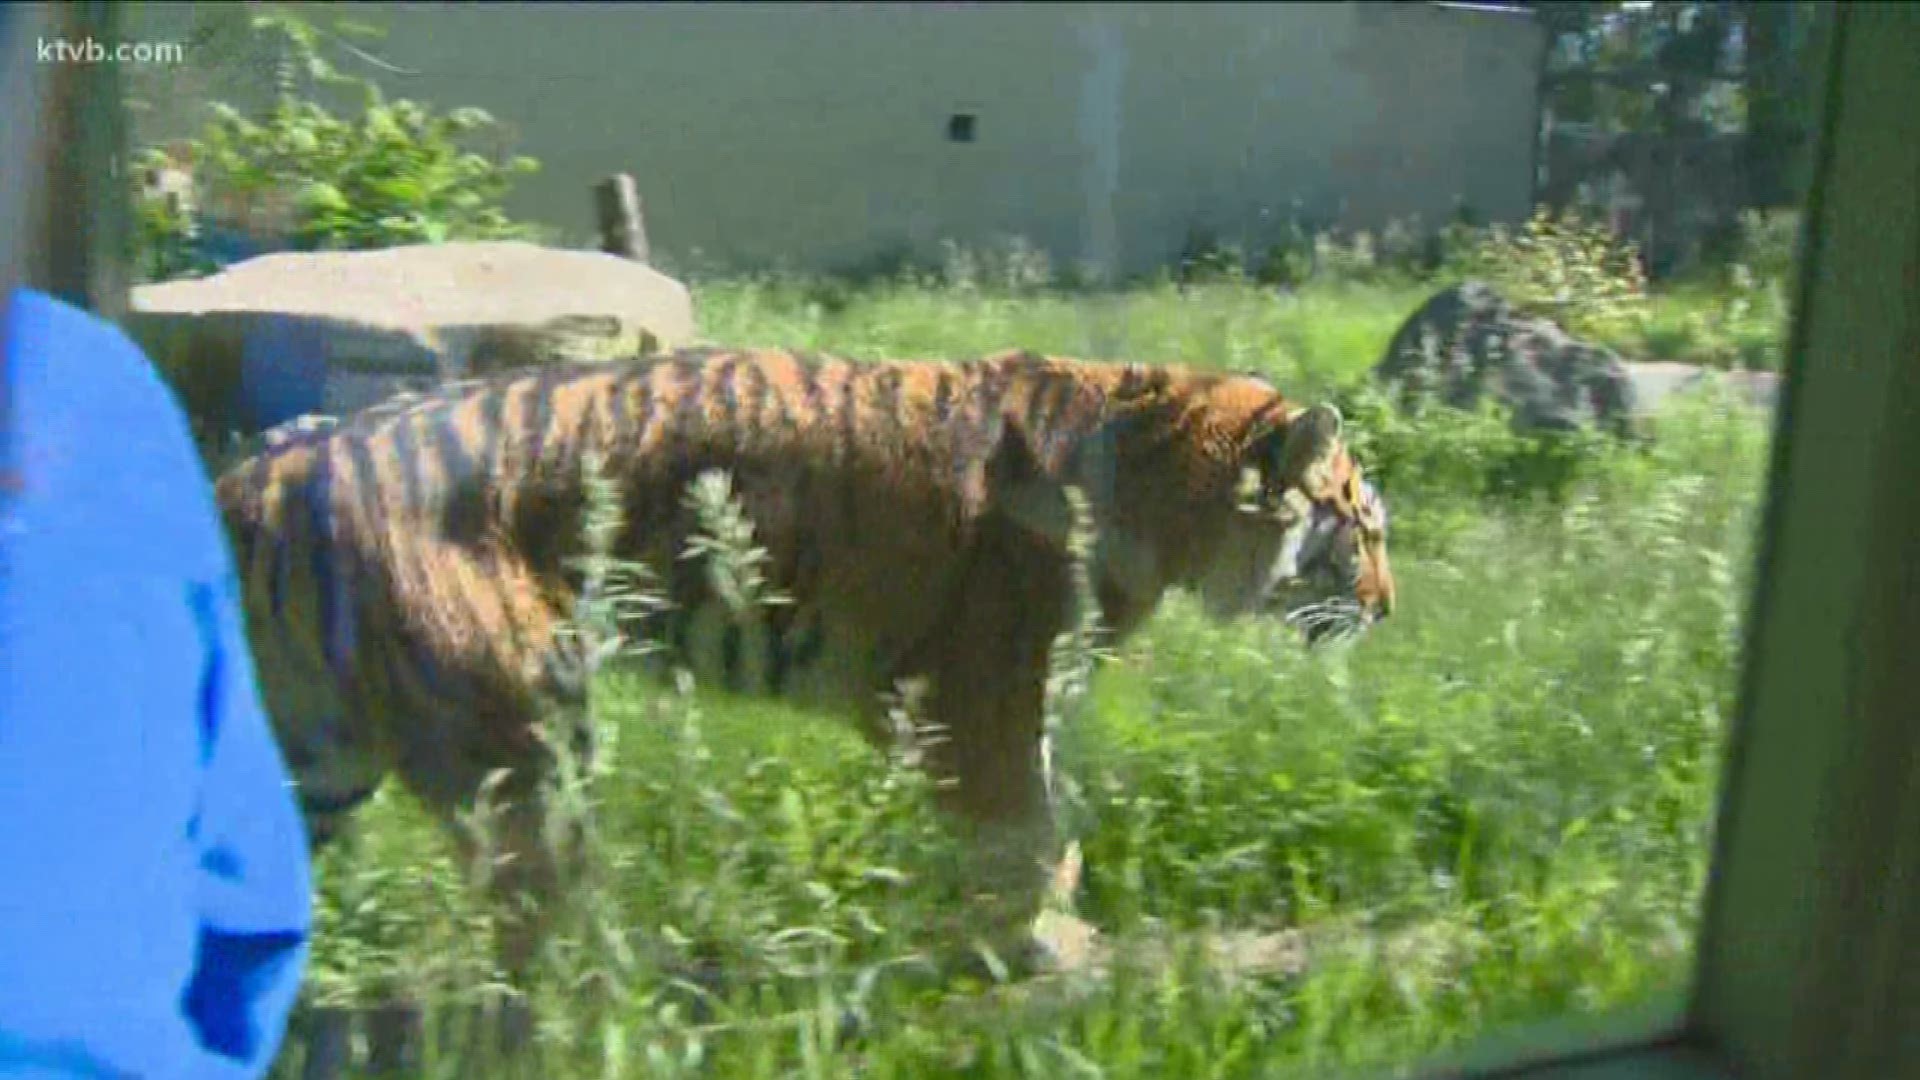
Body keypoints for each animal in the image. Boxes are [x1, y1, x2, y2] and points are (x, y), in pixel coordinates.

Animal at [217, 343, 1397, 983]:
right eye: (1366, 527)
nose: (1389, 608)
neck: (1160, 473)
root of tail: (268, 473)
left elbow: (1041, 819)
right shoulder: (987, 689)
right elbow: (1029, 826)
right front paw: (1042, 945)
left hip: (313, 754)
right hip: (522, 733)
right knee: (542, 926)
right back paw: (630, 986)